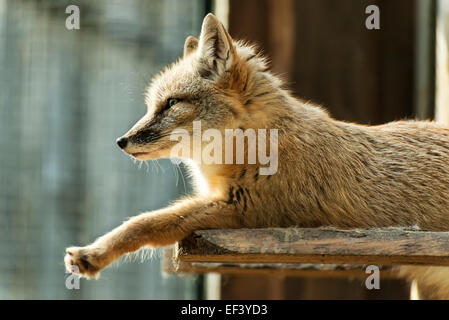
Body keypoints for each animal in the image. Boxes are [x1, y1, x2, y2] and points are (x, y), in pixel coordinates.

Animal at [64, 13, 449, 300]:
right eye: (151, 106)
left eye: (171, 104)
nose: (121, 141)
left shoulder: (244, 208)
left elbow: (149, 222)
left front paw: (94, 253)